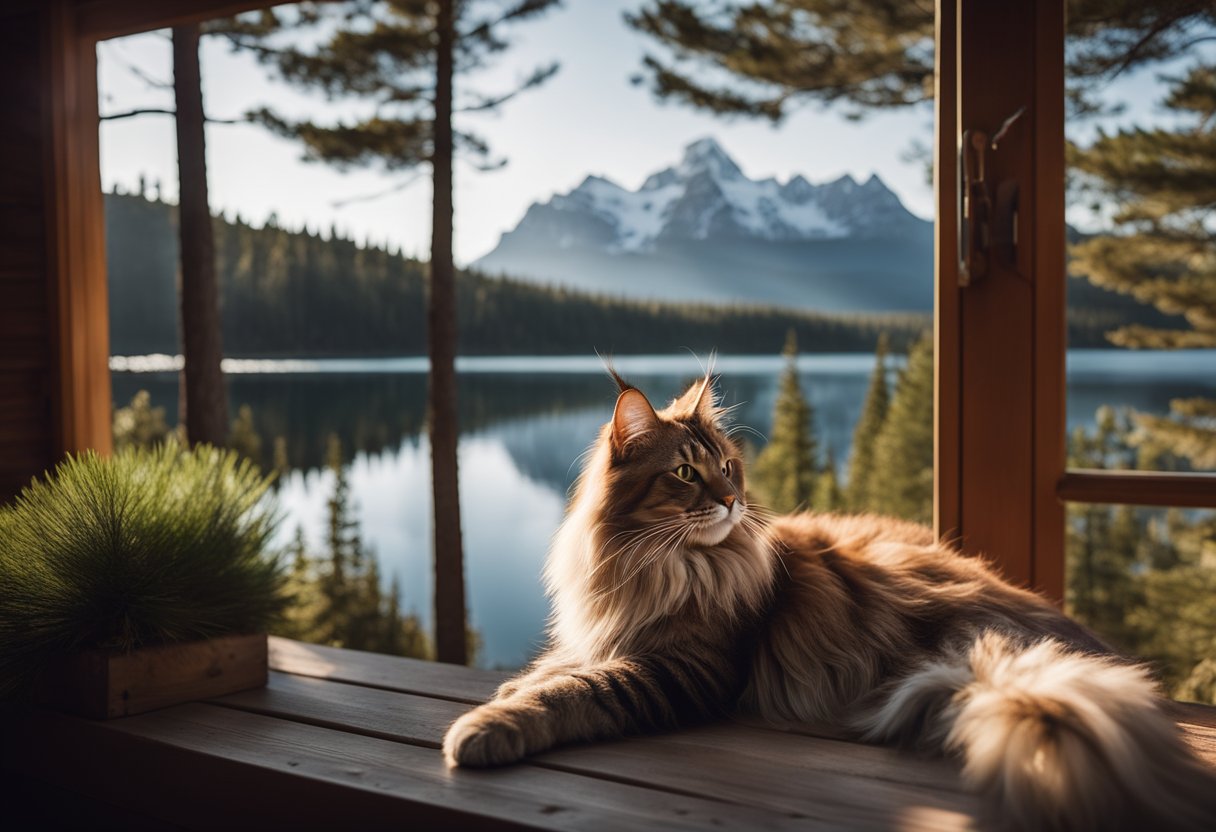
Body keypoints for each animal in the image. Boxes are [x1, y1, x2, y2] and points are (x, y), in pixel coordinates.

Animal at [445, 374, 1216, 827]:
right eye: (686, 475)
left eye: (729, 469)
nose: (730, 501)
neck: (665, 566)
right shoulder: (612, 633)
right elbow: (558, 667)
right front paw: (514, 684)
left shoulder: (682, 669)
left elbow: (575, 692)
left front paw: (485, 727)